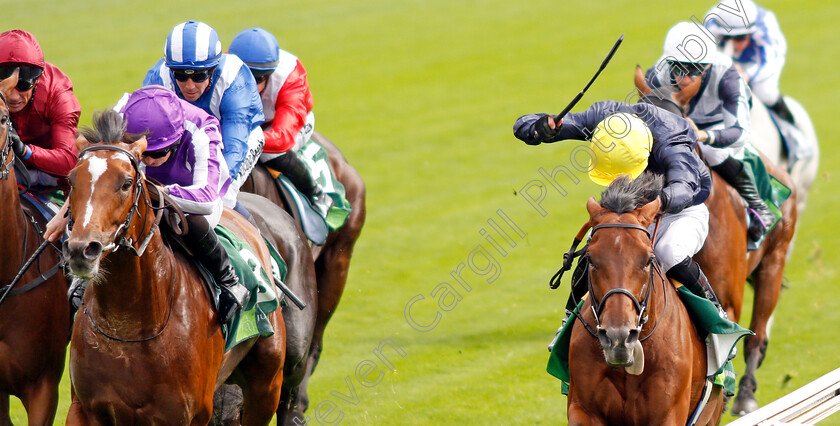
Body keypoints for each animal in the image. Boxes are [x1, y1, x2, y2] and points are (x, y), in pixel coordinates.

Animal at [62, 111, 286, 424]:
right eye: (72, 180)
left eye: (126, 183)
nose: (82, 250)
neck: (128, 327)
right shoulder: (84, 408)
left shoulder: (187, 414)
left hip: (267, 383)